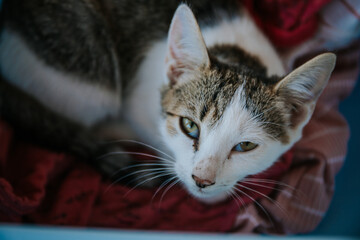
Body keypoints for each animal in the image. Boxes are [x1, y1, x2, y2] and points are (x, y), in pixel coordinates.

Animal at [0, 0, 336, 203]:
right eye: (190, 127)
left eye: (245, 146)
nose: (202, 180)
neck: (239, 54)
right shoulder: (136, 101)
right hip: (87, 70)